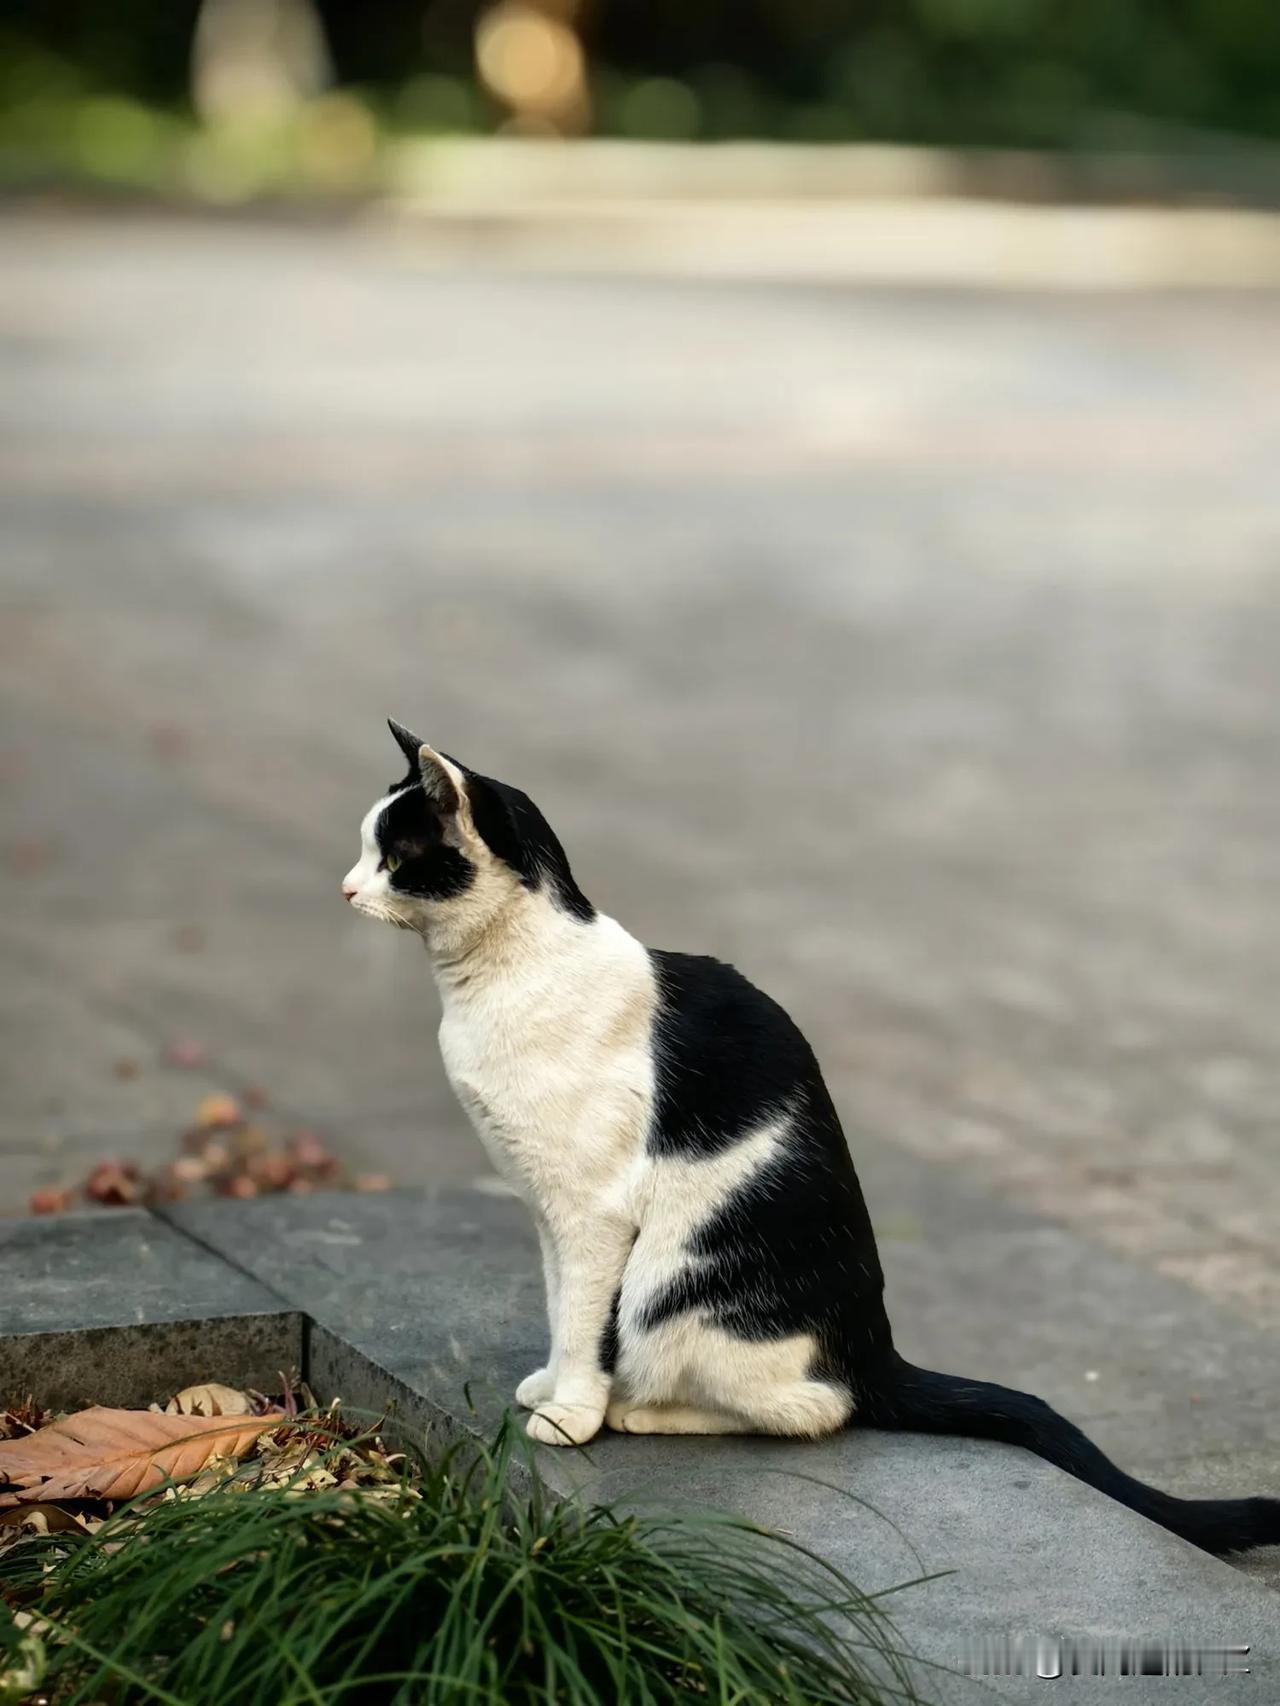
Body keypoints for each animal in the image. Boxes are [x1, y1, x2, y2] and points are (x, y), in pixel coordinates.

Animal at [346, 719, 1280, 1562]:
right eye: (364, 849)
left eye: (393, 855)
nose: (346, 890)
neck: (498, 977)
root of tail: (873, 1346)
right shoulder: (547, 1211)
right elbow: (556, 1305)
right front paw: (551, 1385)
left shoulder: (593, 1215)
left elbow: (582, 1320)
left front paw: (572, 1413)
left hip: (670, 1285)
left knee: (816, 1407)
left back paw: (644, 1408)